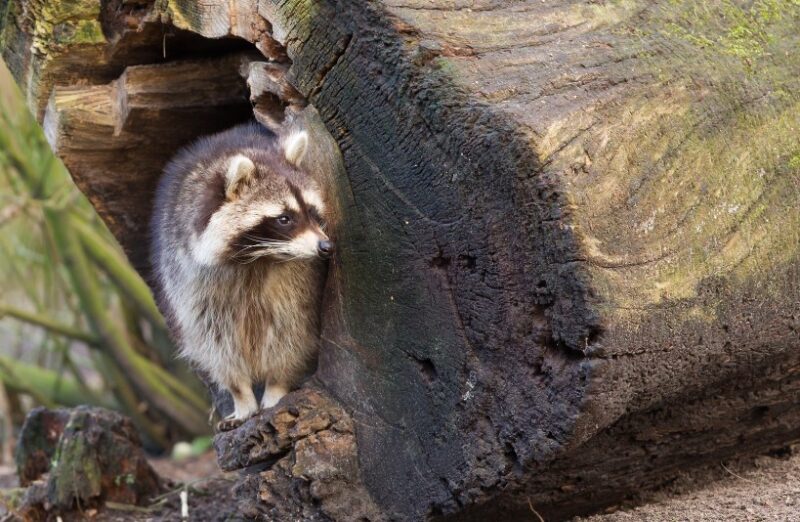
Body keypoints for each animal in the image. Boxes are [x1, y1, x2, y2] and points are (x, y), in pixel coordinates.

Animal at [150, 123, 332, 430]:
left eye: (311, 211)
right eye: (284, 219)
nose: (325, 247)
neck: (257, 259)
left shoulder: (300, 279)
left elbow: (292, 329)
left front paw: (276, 387)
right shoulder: (189, 277)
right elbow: (215, 341)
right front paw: (242, 397)